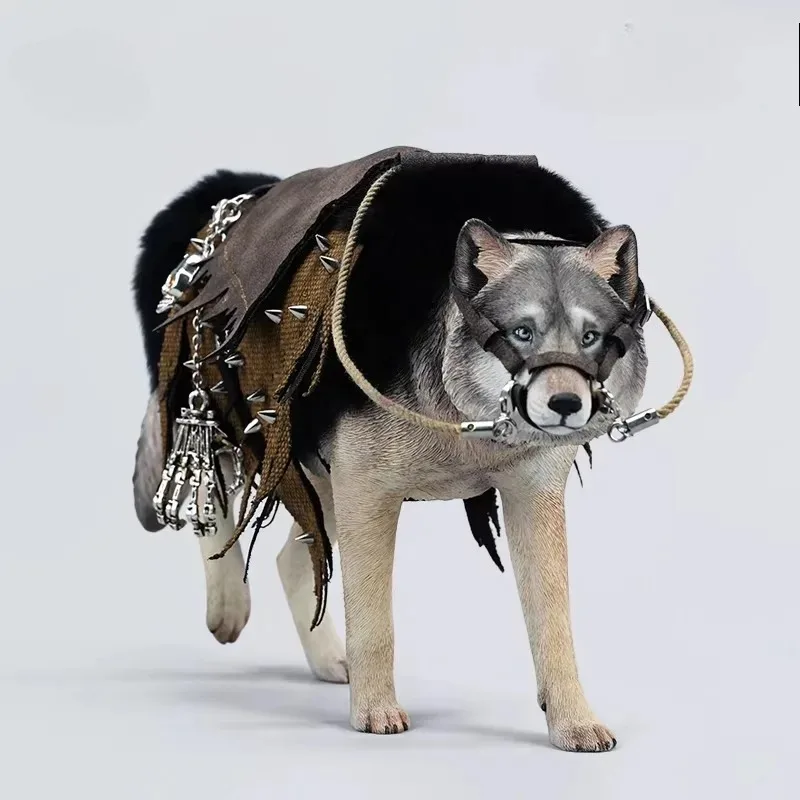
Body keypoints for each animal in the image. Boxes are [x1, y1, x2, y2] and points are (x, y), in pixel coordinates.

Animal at [132, 164, 648, 752]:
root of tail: (215, 190)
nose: (566, 405)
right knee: (208, 497)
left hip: (322, 479)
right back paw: (228, 606)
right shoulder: (369, 490)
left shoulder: (530, 496)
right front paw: (376, 713)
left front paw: (574, 724)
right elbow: (375, 621)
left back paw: (329, 660)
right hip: (223, 416)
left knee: (292, 559)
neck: (464, 420)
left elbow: (554, 623)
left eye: (592, 337)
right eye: (521, 332)